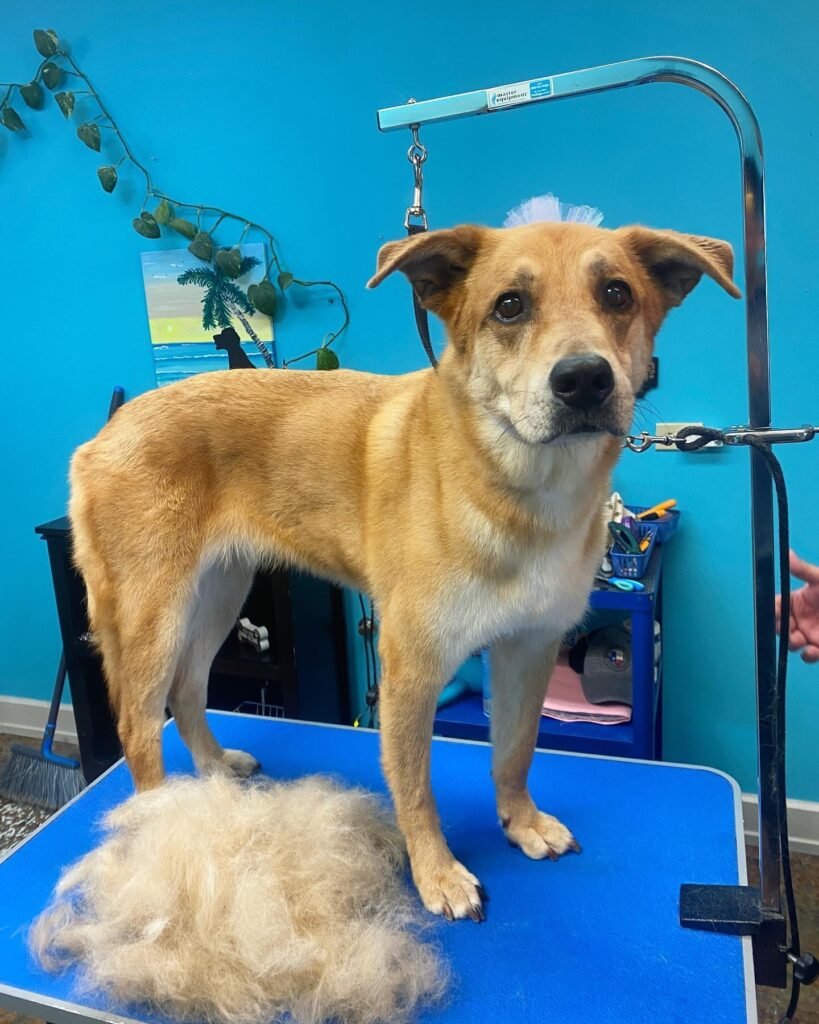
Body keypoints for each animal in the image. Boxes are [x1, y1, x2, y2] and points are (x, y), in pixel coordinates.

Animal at [68, 222, 737, 921]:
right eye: (509, 306)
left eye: (616, 293)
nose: (584, 380)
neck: (516, 487)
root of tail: (105, 432)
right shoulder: (411, 668)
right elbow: (416, 788)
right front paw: (436, 874)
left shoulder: (528, 650)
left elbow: (516, 752)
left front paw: (520, 823)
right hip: (155, 614)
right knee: (139, 725)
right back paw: (160, 825)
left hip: (221, 594)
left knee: (189, 691)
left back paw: (214, 774)